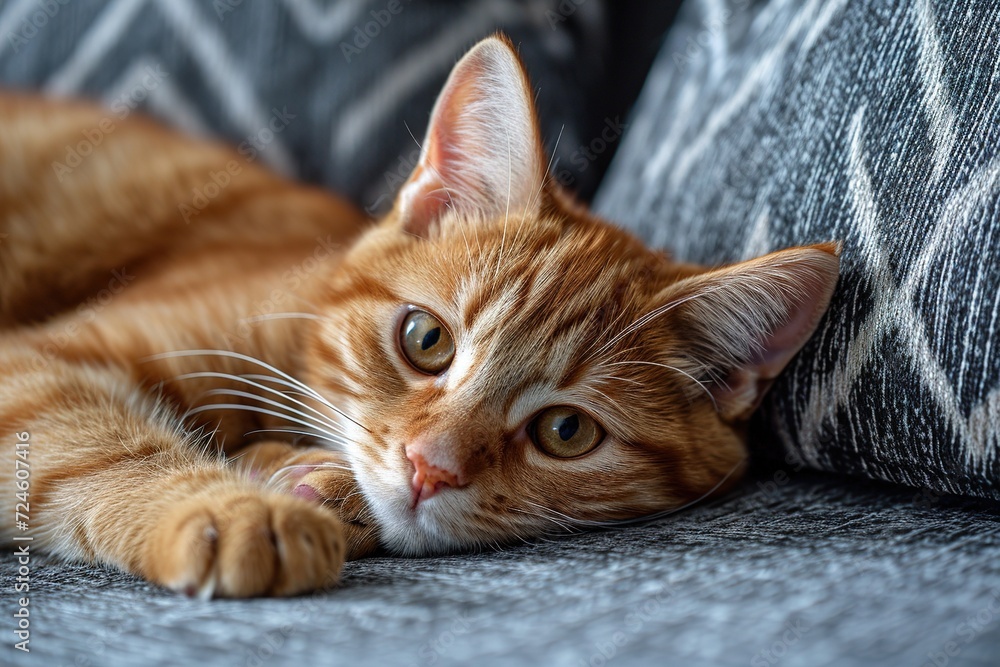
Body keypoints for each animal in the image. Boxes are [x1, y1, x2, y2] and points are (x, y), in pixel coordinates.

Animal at [0, 37, 840, 600]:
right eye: (426, 339)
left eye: (566, 431)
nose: (429, 466)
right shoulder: (35, 365)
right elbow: (106, 444)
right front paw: (232, 507)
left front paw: (305, 479)